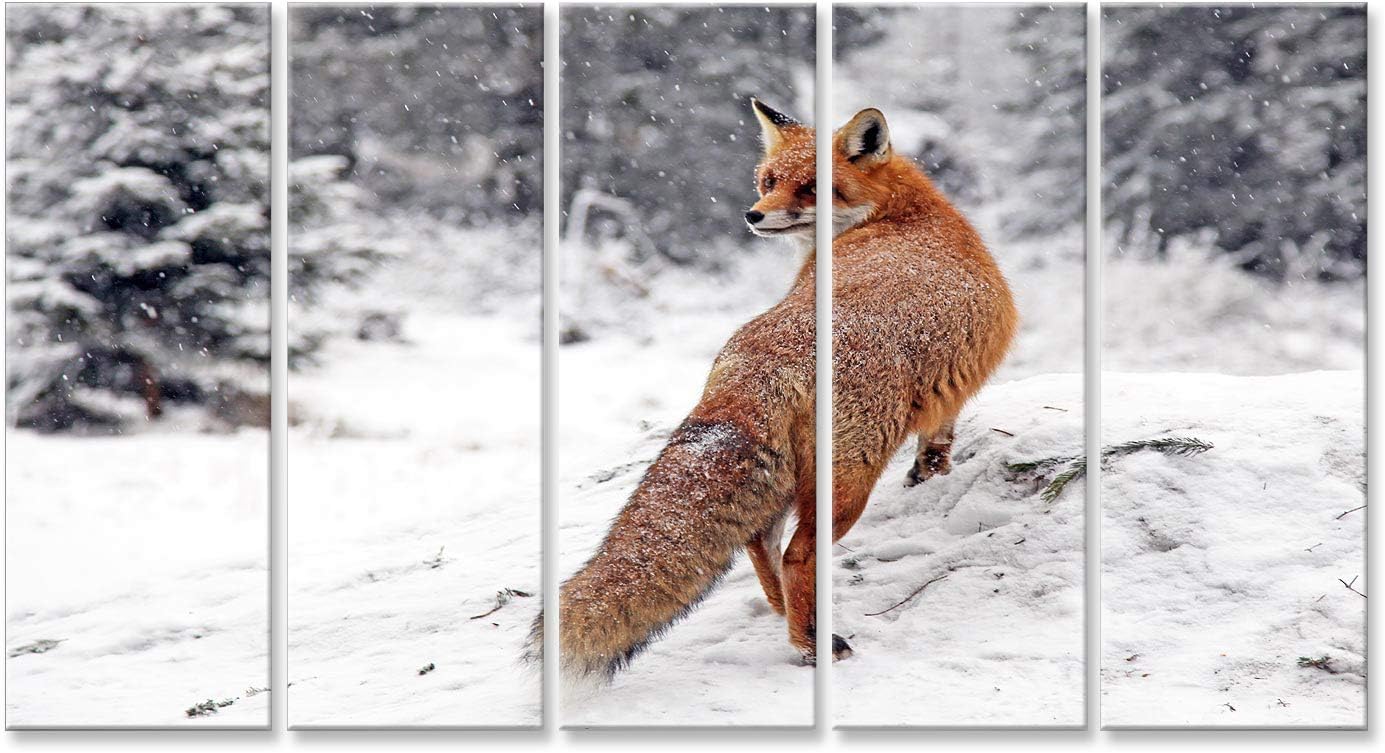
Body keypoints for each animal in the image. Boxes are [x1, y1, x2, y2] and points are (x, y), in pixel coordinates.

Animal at [532, 98, 1017, 678]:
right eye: (770, 181)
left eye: (811, 187)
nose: (753, 214)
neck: (903, 215)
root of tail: (765, 360)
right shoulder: (950, 394)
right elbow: (939, 444)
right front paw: (930, 478)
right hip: (846, 480)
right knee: (796, 554)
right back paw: (813, 643)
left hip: (788, 477)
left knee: (758, 542)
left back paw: (785, 613)